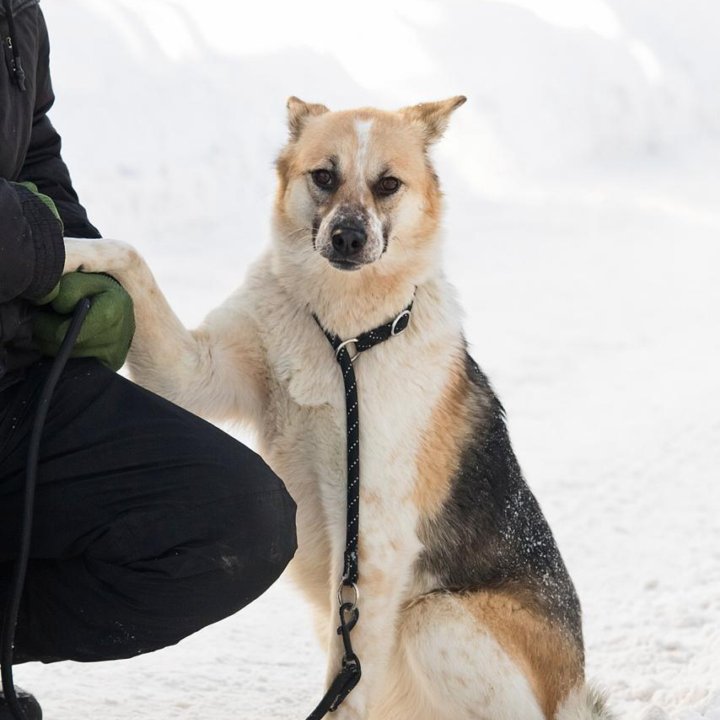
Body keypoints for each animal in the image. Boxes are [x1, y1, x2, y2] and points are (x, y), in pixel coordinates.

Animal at [63, 95, 612, 720]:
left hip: (433, 618)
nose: (348, 237)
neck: (343, 337)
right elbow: (129, 255)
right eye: (324, 176)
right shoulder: (194, 372)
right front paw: (63, 247)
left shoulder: (373, 538)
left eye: (388, 184)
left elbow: (346, 681)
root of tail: (573, 693)